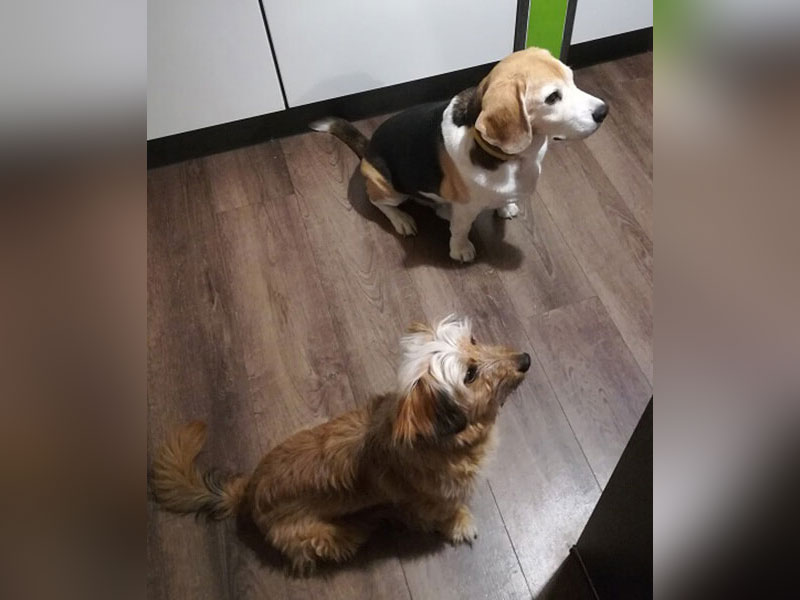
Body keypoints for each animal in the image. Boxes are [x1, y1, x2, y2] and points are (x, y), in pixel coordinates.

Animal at [151, 316, 530, 573]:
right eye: (470, 375)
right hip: (320, 536)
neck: (445, 438)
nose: (525, 360)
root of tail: (247, 490)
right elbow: (446, 512)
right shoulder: (428, 502)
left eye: (474, 340)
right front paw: (462, 524)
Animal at [310, 47, 608, 262]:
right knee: (379, 203)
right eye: (552, 98)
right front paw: (461, 250)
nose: (604, 111)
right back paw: (402, 220)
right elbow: (462, 230)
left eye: (572, 78)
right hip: (387, 186)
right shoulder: (466, 207)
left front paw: (505, 207)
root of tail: (368, 148)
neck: (513, 159)